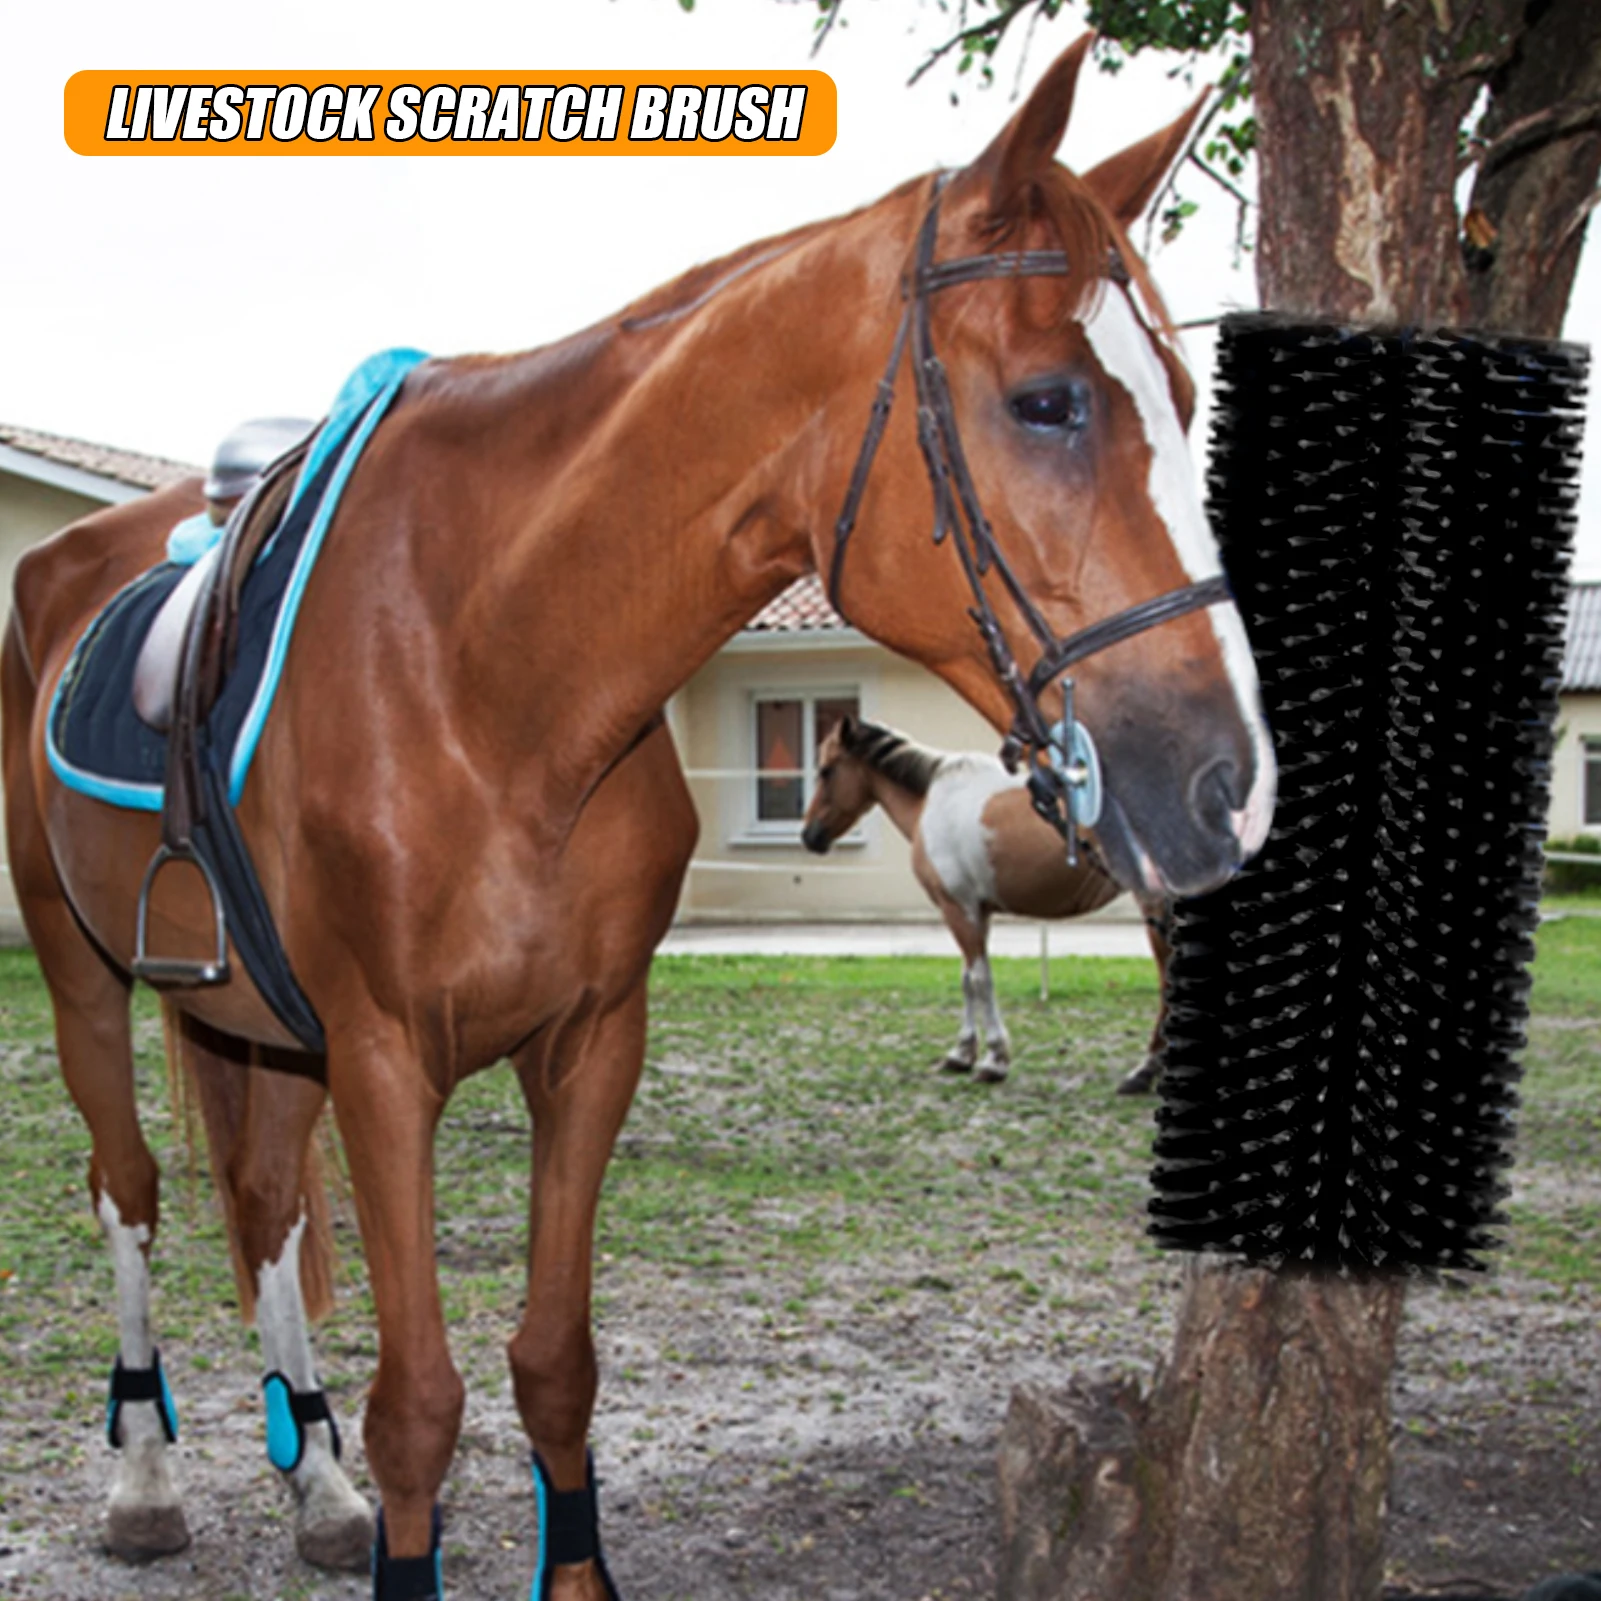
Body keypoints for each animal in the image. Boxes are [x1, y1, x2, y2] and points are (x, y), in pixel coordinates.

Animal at [801, 714, 1171, 1089]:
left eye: (827, 770)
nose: (809, 835)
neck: (931, 800)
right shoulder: (976, 912)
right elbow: (968, 979)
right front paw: (961, 1054)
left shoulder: (957, 908)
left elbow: (981, 979)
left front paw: (994, 1060)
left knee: (1166, 974)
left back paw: (1146, 1068)